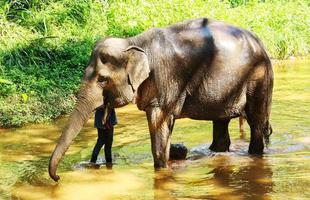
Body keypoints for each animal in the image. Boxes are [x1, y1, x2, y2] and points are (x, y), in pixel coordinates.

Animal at [47, 18, 272, 182]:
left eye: (102, 79)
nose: (58, 178)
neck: (133, 42)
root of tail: (260, 42)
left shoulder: (165, 82)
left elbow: (159, 123)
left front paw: (161, 169)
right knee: (221, 123)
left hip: (258, 79)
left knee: (256, 123)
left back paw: (254, 154)